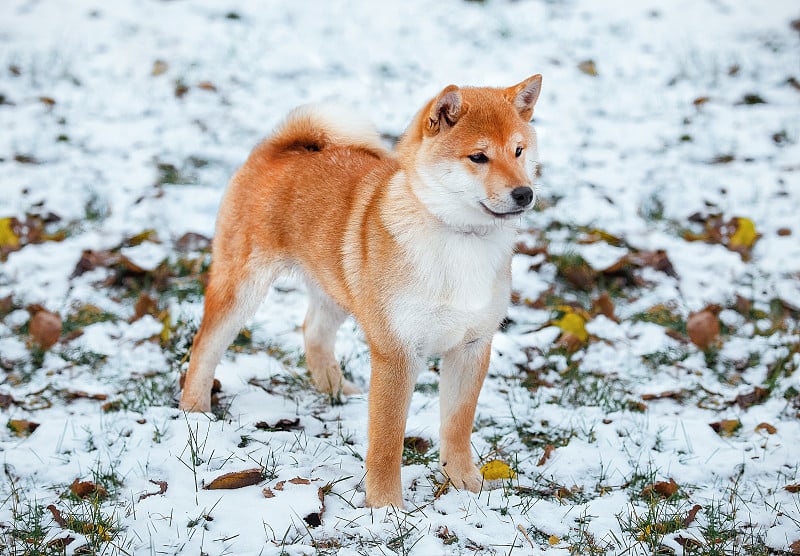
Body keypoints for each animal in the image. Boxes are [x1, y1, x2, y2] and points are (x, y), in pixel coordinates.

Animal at [180, 75, 544, 508]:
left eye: (518, 151)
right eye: (478, 157)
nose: (524, 193)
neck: (460, 240)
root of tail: (280, 147)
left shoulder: (472, 345)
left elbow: (457, 427)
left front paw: (465, 485)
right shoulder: (397, 351)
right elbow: (386, 440)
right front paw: (386, 507)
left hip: (338, 288)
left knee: (313, 331)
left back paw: (336, 390)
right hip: (243, 286)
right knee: (205, 344)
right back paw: (194, 410)